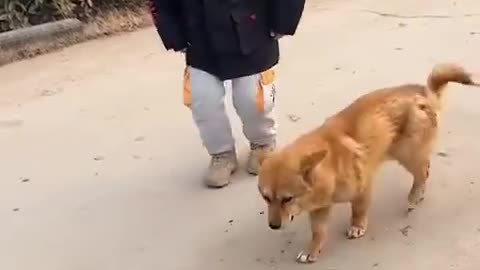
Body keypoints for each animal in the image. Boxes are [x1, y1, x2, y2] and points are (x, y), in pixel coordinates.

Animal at [258, 63, 480, 264]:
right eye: (266, 198)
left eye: (287, 199)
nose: (273, 226)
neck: (331, 164)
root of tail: (423, 92)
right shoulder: (319, 209)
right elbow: (318, 232)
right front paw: (312, 249)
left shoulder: (362, 188)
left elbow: (358, 210)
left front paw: (357, 226)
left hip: (406, 153)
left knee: (423, 171)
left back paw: (414, 196)